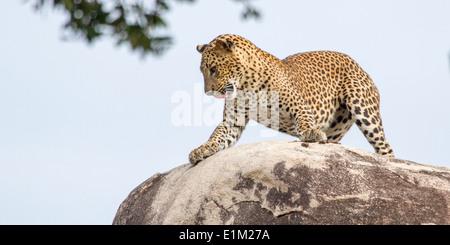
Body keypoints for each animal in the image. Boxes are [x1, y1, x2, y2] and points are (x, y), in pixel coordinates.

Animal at [189, 34, 394, 165]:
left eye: (213, 69)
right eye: (202, 71)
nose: (208, 92)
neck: (245, 84)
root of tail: (357, 64)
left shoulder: (299, 106)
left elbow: (305, 120)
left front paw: (311, 133)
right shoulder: (233, 121)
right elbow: (218, 135)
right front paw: (202, 149)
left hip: (364, 110)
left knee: (385, 147)